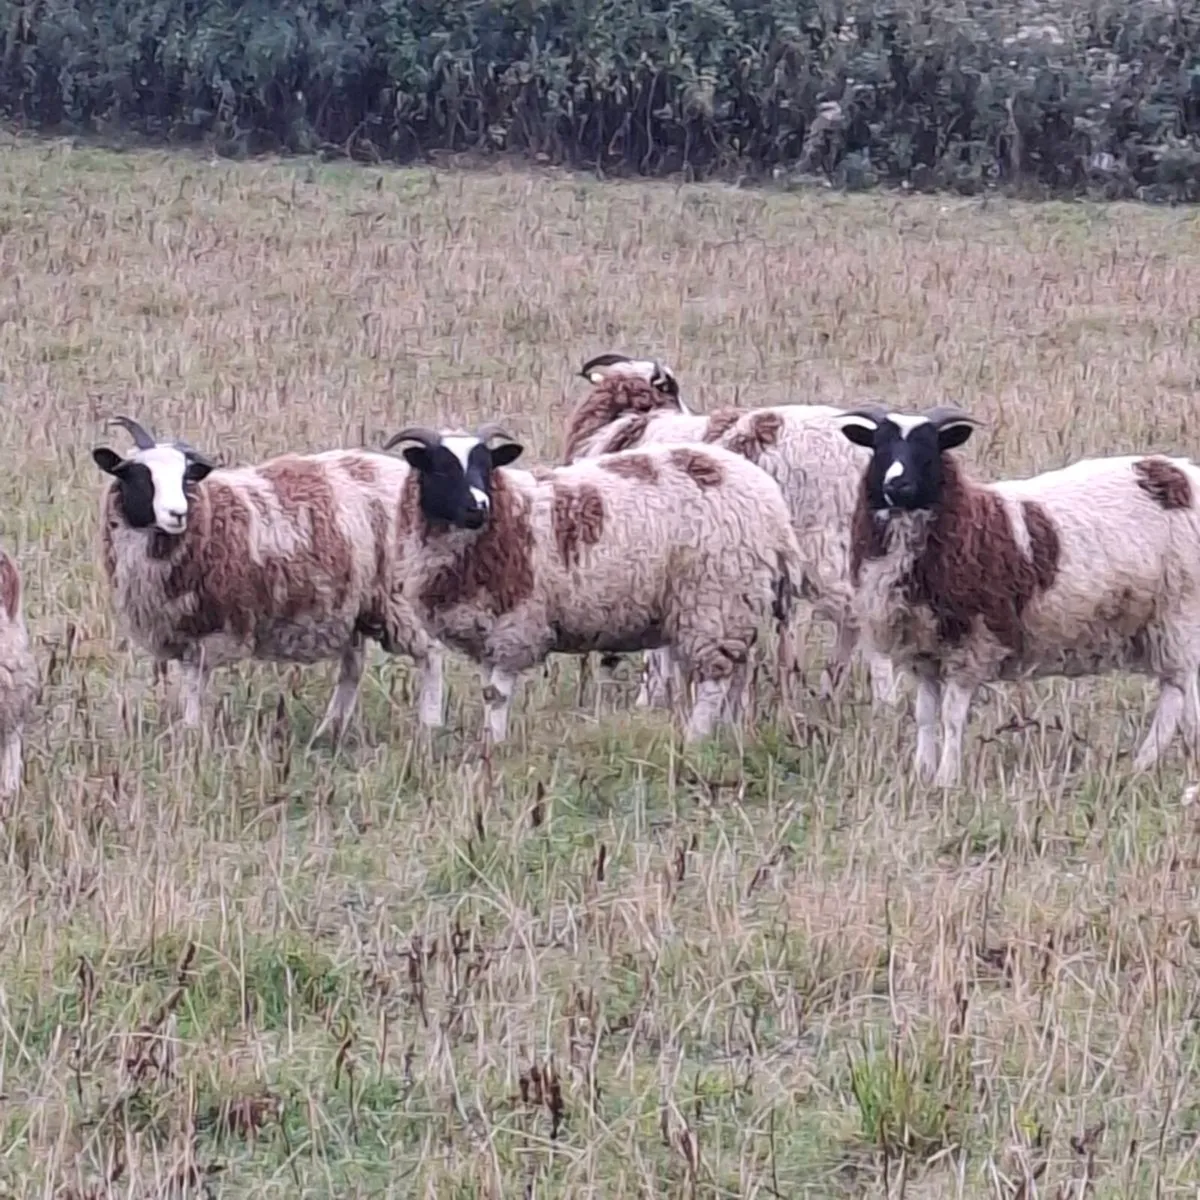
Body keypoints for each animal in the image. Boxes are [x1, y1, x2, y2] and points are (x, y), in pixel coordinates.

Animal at [93, 416, 444, 743]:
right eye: (138, 475)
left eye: (184, 477)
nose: (177, 514)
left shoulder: (211, 628)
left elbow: (193, 685)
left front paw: (190, 735)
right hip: (353, 607)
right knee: (352, 669)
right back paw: (329, 731)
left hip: (401, 598)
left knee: (431, 656)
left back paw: (429, 727)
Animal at [382, 421, 804, 744]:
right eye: (440, 469)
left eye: (486, 467)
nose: (478, 506)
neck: (510, 512)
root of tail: (772, 504)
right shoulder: (487, 632)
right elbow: (489, 692)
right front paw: (487, 742)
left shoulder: (515, 625)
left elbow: (497, 695)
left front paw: (494, 746)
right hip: (739, 602)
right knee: (739, 674)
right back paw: (731, 732)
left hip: (714, 599)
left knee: (715, 681)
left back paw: (696, 740)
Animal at [837, 402, 1200, 787]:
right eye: (879, 446)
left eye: (928, 448)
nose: (897, 484)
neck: (969, 519)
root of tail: (1180, 473)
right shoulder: (925, 651)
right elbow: (924, 717)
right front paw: (922, 774)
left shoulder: (971, 646)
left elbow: (951, 718)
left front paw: (947, 779)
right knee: (1177, 691)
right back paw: (1152, 762)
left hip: (1178, 613)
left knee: (1178, 692)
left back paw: (1147, 761)